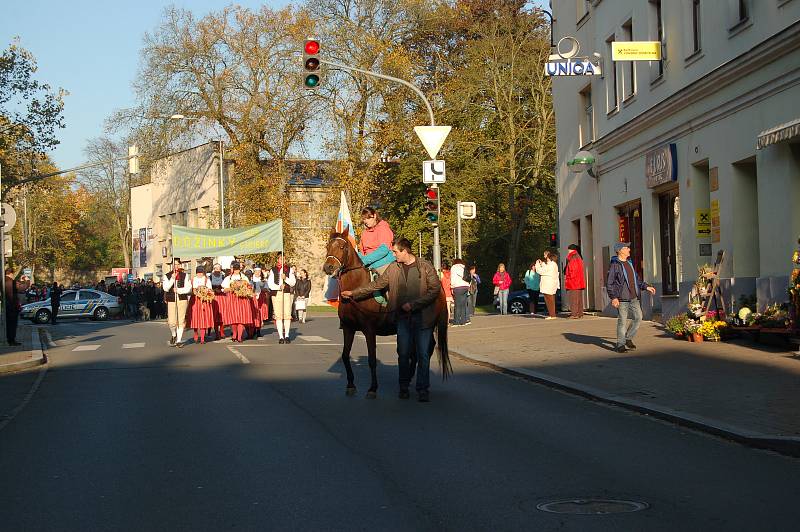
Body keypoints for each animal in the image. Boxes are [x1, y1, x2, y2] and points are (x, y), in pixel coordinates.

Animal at [324, 229, 450, 400]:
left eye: (342, 247)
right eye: (327, 246)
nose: (328, 267)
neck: (356, 290)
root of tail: (438, 287)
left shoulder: (369, 330)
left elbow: (372, 360)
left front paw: (372, 388)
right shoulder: (348, 328)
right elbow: (345, 355)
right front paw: (350, 385)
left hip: (427, 326)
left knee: (426, 349)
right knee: (416, 352)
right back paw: (408, 380)